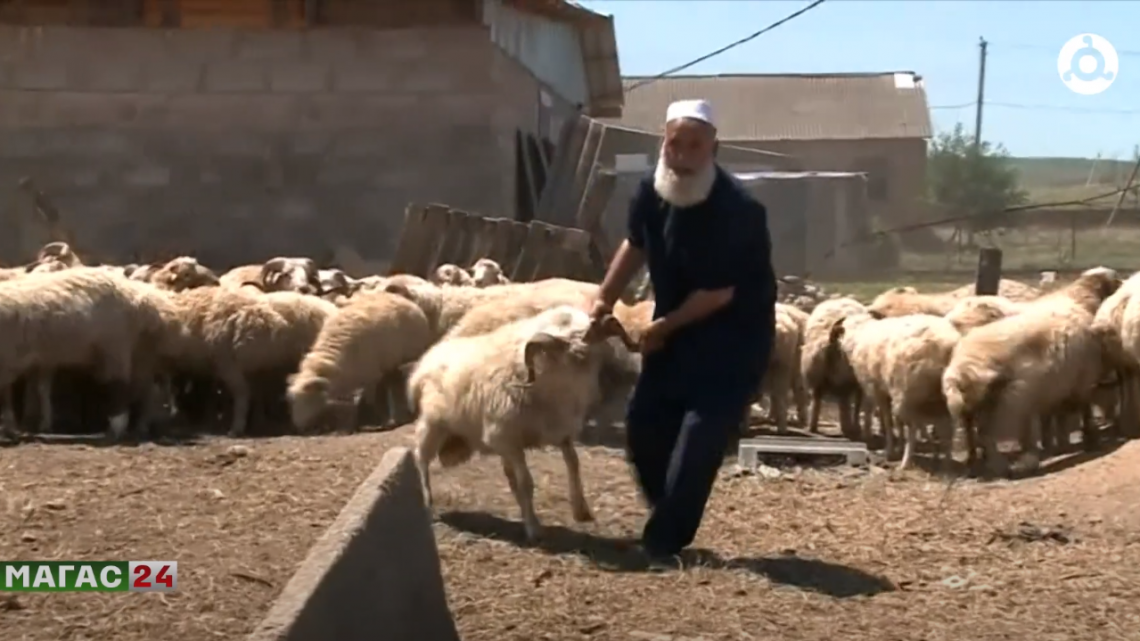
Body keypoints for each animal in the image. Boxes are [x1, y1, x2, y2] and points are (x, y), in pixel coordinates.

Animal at [410, 303, 638, 538]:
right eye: (565, 338)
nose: (582, 350)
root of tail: (425, 362)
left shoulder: (560, 432)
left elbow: (573, 464)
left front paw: (581, 510)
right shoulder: (509, 442)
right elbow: (526, 482)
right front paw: (533, 528)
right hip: (433, 426)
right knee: (420, 459)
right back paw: (427, 502)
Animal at [802, 296, 870, 435]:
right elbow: (856, 404)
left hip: (814, 373)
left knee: (816, 399)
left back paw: (813, 427)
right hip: (841, 377)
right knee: (844, 403)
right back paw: (848, 429)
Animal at [829, 310, 962, 469]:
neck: (858, 335)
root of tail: (946, 345)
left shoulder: (877, 389)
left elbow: (887, 420)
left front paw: (890, 451)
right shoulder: (888, 390)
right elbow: (897, 422)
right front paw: (898, 447)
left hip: (908, 393)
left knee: (914, 427)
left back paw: (906, 462)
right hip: (939, 397)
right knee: (948, 428)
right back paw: (946, 462)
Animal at [939, 264, 1117, 474]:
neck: (1079, 300)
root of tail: (958, 372)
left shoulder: (1056, 383)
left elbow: (1054, 416)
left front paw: (1055, 444)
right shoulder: (1082, 378)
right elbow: (1084, 410)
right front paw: (1089, 439)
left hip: (976, 406)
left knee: (971, 432)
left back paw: (975, 461)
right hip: (1006, 403)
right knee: (986, 433)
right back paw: (1002, 465)